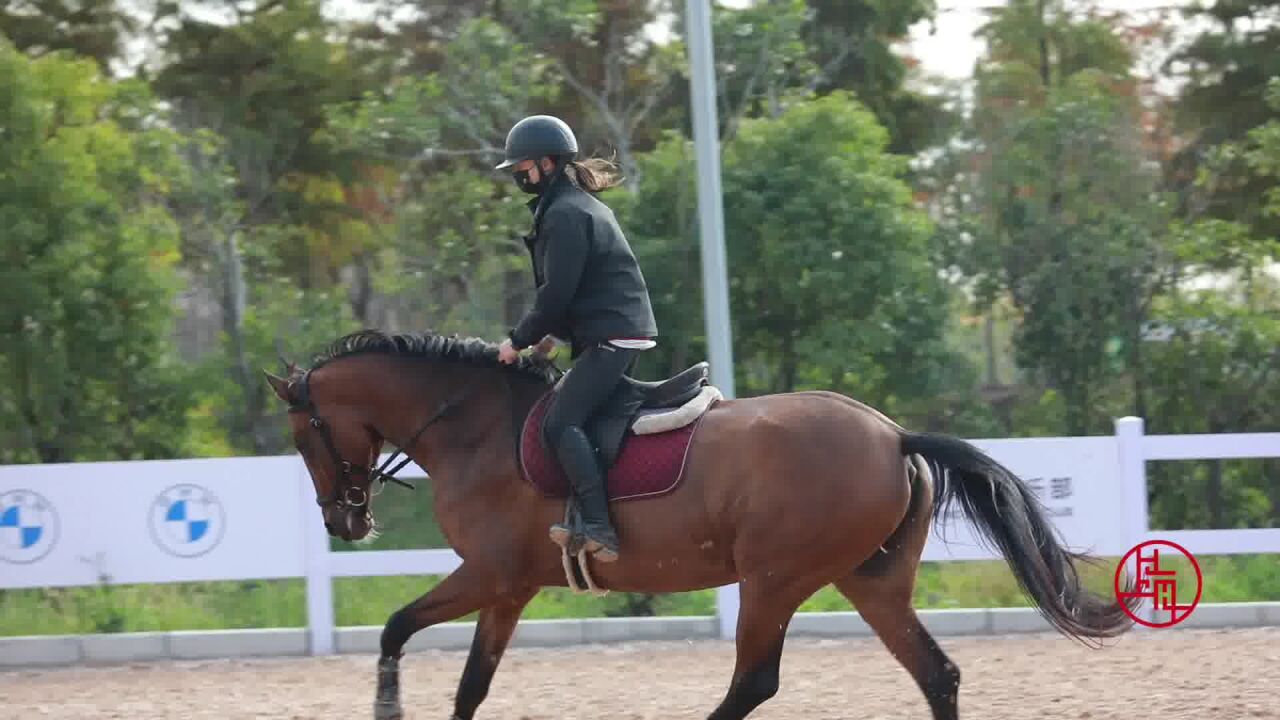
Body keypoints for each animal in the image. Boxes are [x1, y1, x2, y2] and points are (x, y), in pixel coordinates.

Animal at [264, 327, 1136, 712]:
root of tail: (892, 435)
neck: (472, 426)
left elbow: (397, 631)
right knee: (935, 673)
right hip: (872, 583)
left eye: (306, 436)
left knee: (755, 680)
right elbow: (470, 684)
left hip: (773, 579)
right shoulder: (509, 589)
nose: (344, 524)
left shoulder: (490, 574)